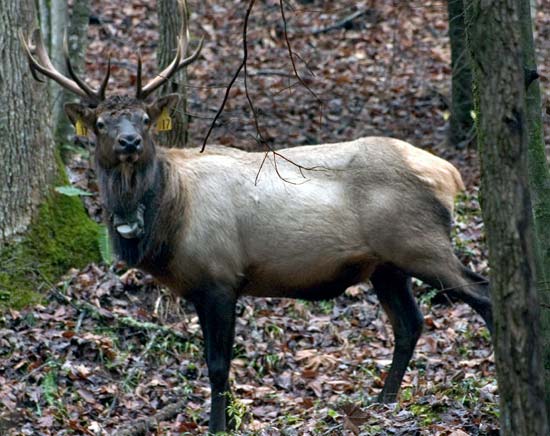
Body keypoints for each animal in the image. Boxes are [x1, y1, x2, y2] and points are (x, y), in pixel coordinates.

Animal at [21, 1, 496, 432]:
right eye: (101, 123)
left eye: (144, 118)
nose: (130, 142)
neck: (169, 217)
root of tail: (449, 173)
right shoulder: (203, 286)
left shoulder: (219, 276)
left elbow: (217, 367)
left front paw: (218, 426)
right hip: (386, 264)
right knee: (410, 324)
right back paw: (383, 402)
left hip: (420, 243)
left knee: (483, 293)